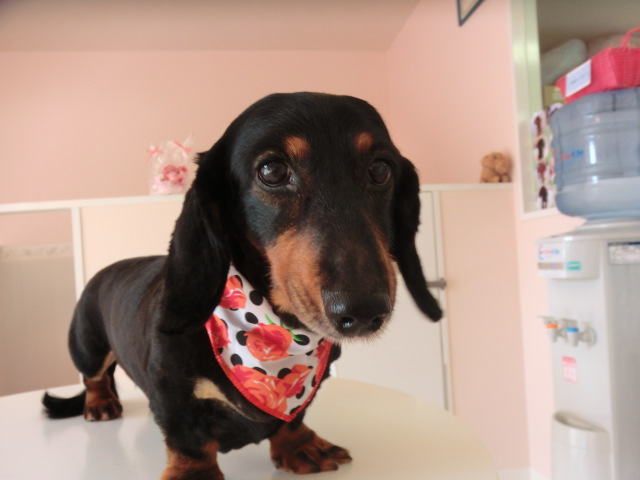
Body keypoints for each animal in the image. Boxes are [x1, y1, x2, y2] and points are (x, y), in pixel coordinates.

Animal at [42, 92, 442, 479]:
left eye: (380, 170)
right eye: (273, 170)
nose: (362, 312)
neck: (278, 330)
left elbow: (293, 419)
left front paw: (299, 445)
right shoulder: (171, 395)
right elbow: (188, 439)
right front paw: (194, 473)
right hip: (86, 344)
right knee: (94, 377)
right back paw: (101, 403)